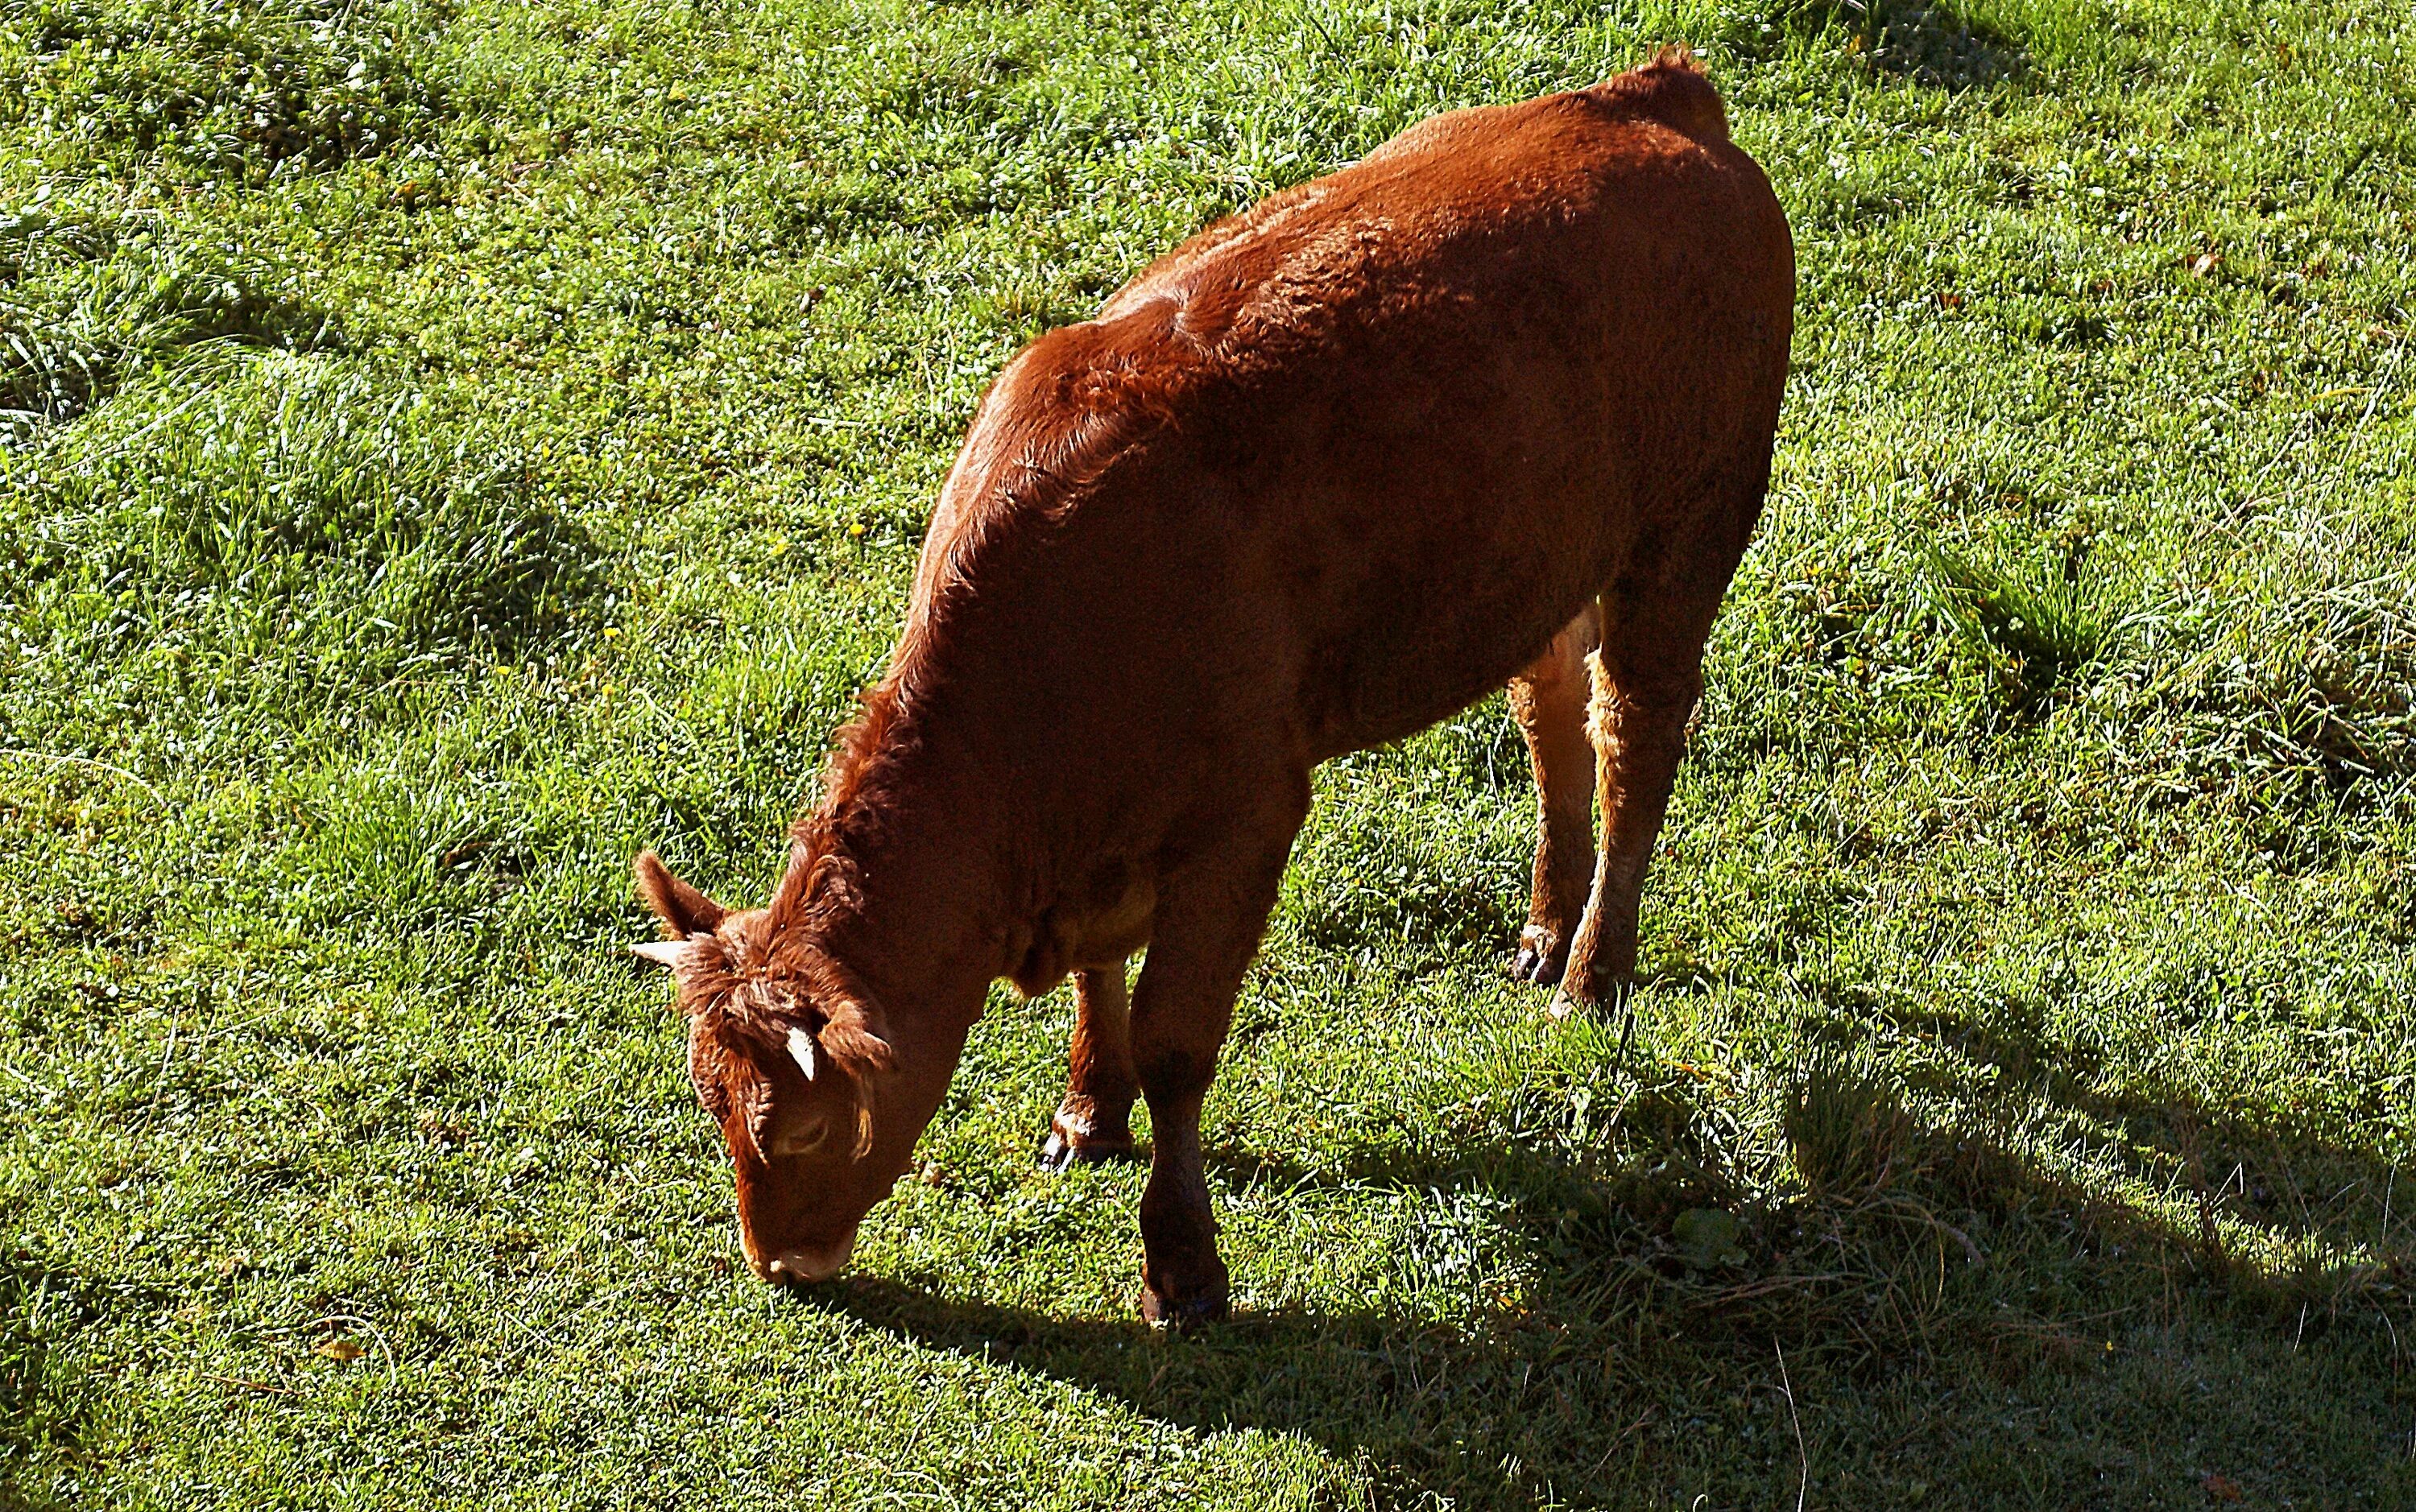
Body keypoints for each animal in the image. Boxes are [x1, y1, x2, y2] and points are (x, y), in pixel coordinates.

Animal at [633, 50, 1788, 1314]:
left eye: (798, 1128)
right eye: (705, 1102)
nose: (778, 1265)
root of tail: (1649, 95)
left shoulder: (1247, 813)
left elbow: (1177, 1044)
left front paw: (1181, 1262)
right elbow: (1101, 982)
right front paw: (1087, 1113)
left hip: (1691, 526)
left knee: (1637, 734)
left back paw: (1592, 970)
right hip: (1545, 558)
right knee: (1551, 708)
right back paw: (1544, 923)